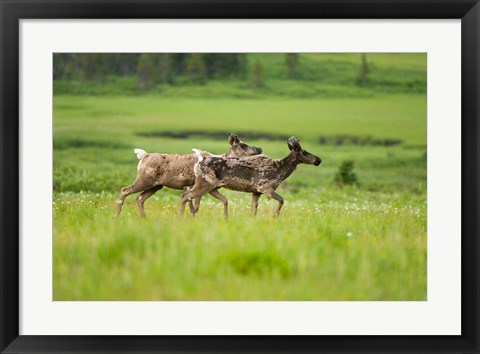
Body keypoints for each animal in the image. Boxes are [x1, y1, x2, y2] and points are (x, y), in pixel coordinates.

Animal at [115, 133, 262, 217]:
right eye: (243, 145)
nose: (260, 148)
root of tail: (144, 156)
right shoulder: (193, 186)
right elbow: (194, 205)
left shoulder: (210, 189)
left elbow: (219, 201)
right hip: (145, 180)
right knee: (125, 190)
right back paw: (117, 216)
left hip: (156, 186)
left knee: (140, 198)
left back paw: (144, 218)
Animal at [181, 137, 322, 217]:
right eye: (304, 152)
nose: (319, 160)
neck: (280, 171)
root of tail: (199, 161)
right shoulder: (265, 187)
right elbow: (282, 200)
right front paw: (275, 216)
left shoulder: (256, 192)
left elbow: (253, 211)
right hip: (205, 183)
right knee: (185, 196)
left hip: (212, 188)